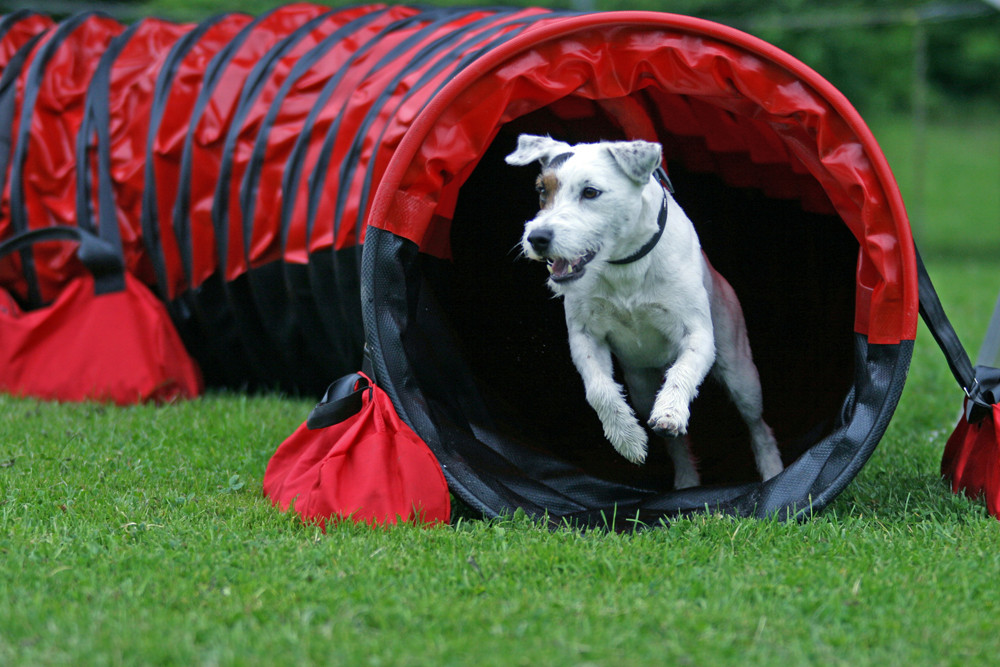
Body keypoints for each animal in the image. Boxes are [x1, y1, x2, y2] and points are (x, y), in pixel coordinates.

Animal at [508, 134, 780, 490]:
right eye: (542, 190)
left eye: (590, 192)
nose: (537, 237)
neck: (624, 265)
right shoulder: (585, 337)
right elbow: (599, 390)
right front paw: (627, 438)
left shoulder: (698, 335)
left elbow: (683, 372)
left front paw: (671, 411)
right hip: (640, 387)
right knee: (676, 444)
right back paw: (686, 482)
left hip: (741, 375)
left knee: (758, 425)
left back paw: (773, 469)